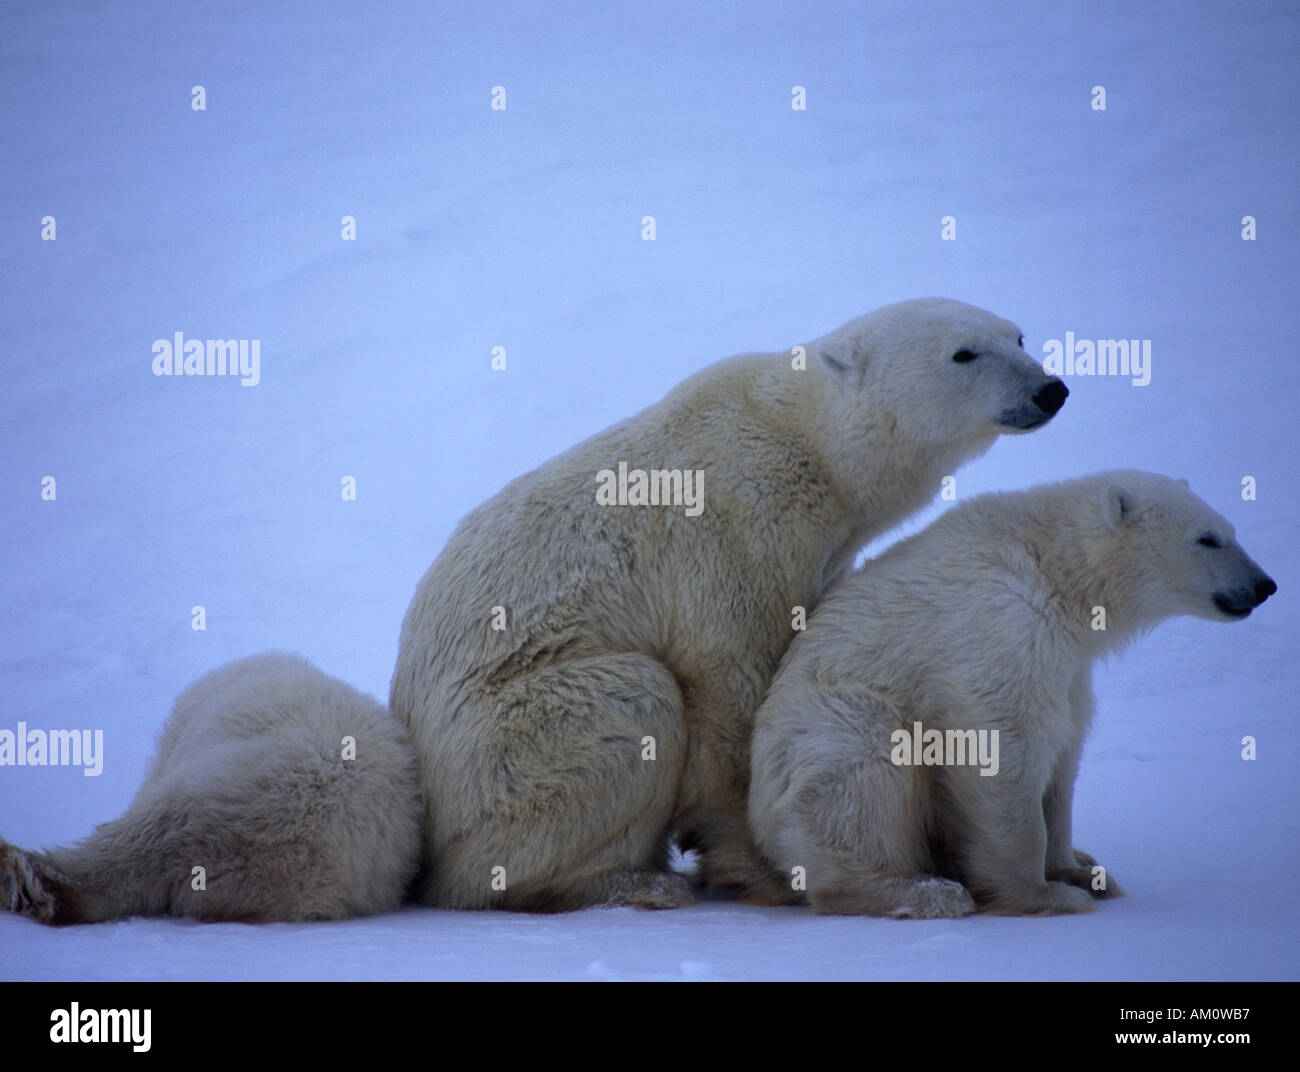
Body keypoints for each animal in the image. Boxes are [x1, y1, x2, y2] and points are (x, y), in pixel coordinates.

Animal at [387, 297, 1066, 909]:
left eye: (1019, 336)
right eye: (964, 352)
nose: (1051, 389)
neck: (807, 444)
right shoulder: (737, 528)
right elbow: (728, 687)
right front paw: (763, 871)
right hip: (503, 747)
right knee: (632, 703)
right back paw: (631, 882)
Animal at [748, 472, 1274, 914]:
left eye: (1230, 530)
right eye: (1208, 538)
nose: (1264, 584)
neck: (1055, 567)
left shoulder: (1069, 668)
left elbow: (1064, 755)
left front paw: (1078, 873)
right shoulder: (1002, 623)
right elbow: (1002, 744)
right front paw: (1045, 893)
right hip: (824, 722)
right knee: (863, 767)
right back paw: (923, 892)